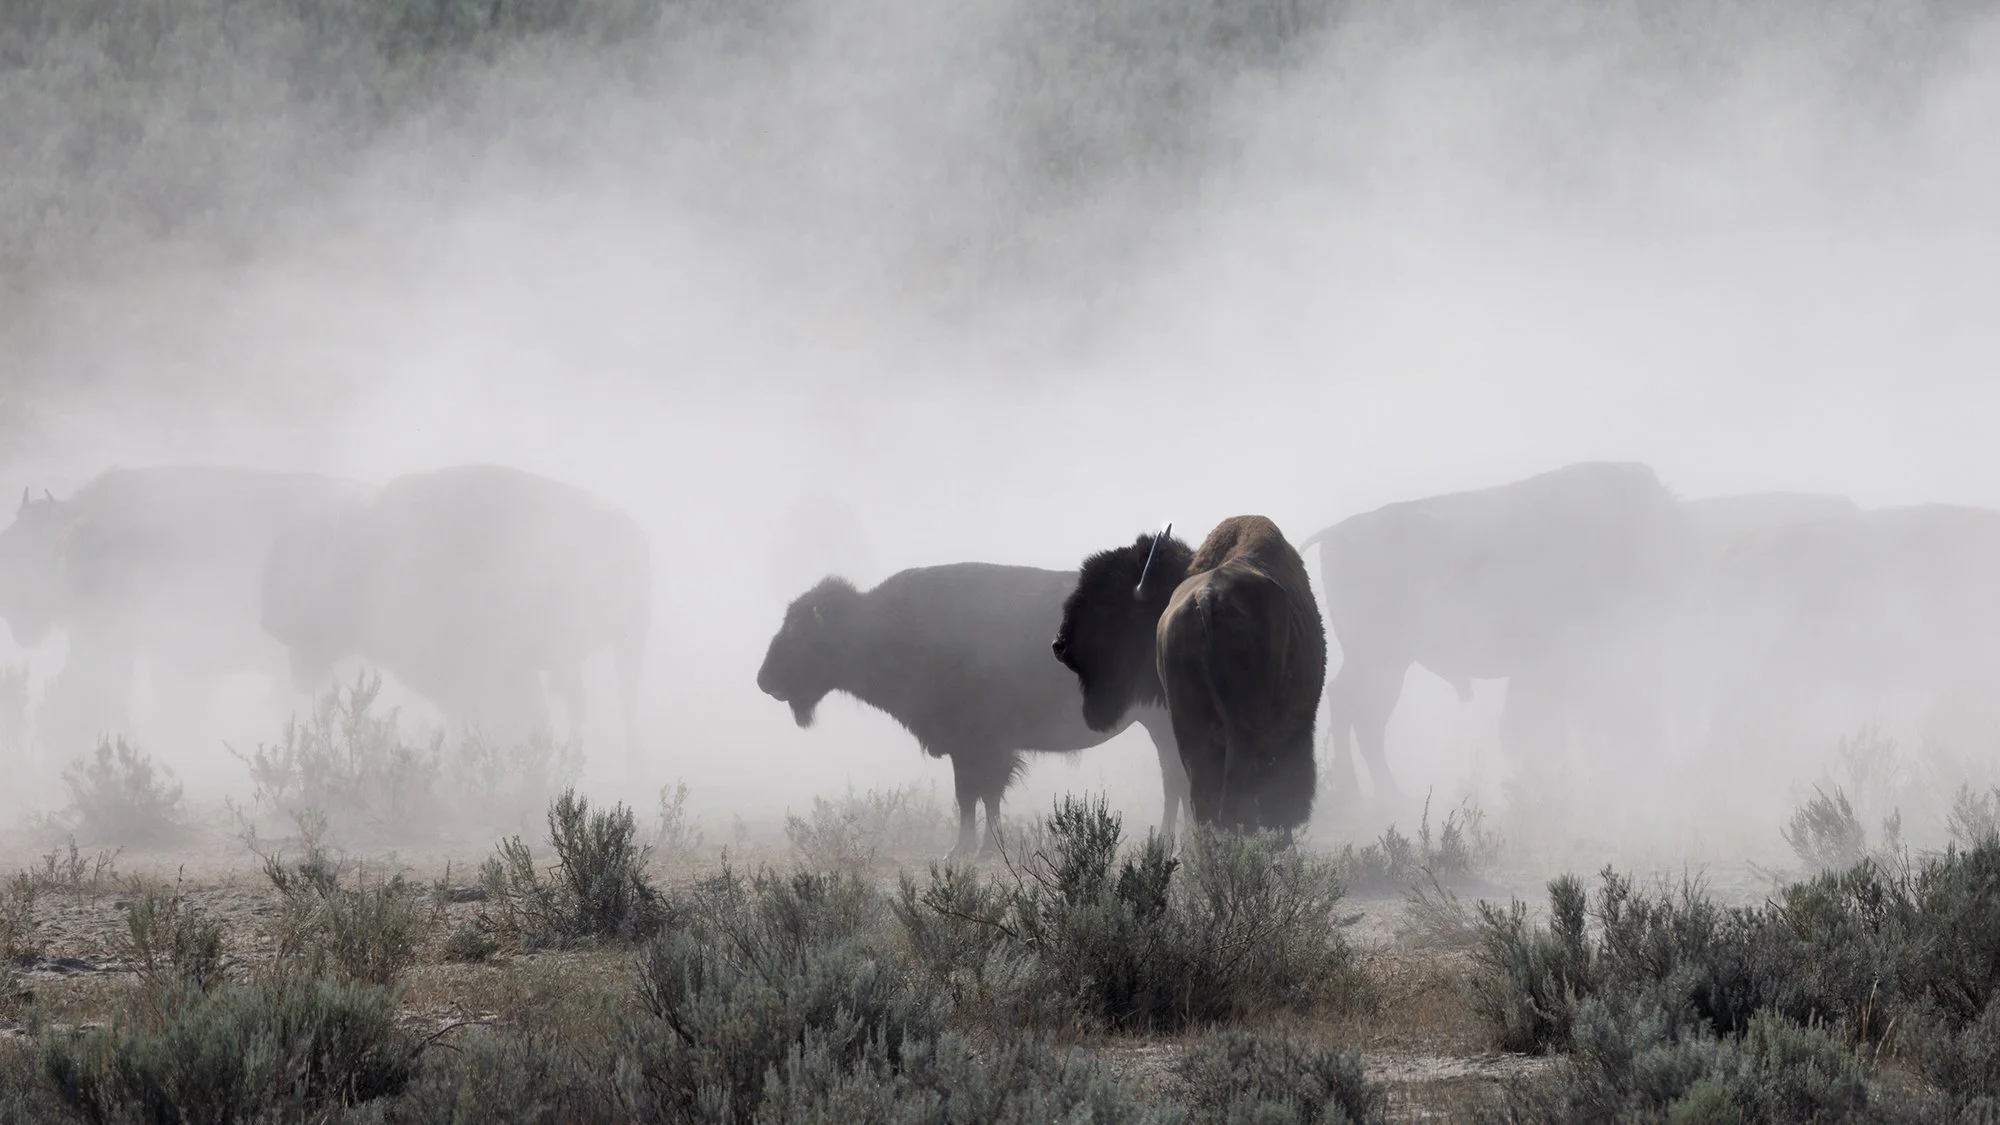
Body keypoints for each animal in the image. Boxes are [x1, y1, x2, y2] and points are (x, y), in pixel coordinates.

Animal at [260, 464, 651, 759]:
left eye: (316, 566)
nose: (270, 620)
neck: (376, 556)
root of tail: (630, 530)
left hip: (622, 646)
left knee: (616, 707)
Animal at [757, 563, 1188, 858]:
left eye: (799, 631)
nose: (764, 679)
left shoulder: (983, 747)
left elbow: (982, 794)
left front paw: (980, 851)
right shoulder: (964, 750)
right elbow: (971, 797)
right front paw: (963, 850)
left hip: (1161, 723)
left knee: (1174, 779)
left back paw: (1172, 843)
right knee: (1177, 778)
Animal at [1054, 516, 1326, 834]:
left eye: (1107, 604)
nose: (1060, 646)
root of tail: (1206, 599)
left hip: (1189, 730)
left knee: (1204, 799)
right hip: (1241, 734)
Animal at [1297, 462, 1700, 800]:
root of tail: (1339, 533)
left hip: (1382, 661)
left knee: (1354, 707)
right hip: (1382, 660)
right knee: (1360, 711)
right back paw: (1379, 795)